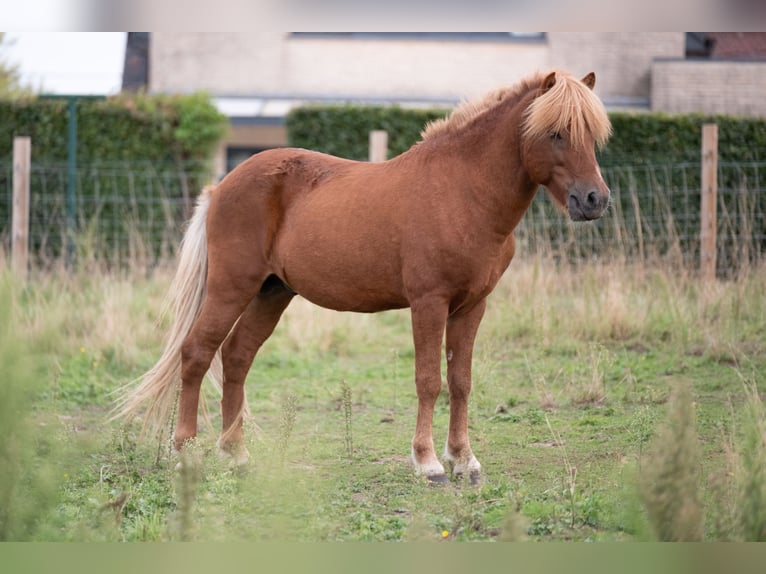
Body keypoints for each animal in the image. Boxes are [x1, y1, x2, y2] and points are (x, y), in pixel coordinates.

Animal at [115, 69, 612, 483]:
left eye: (593, 134)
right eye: (555, 133)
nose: (594, 200)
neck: (462, 192)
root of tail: (223, 185)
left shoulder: (472, 306)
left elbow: (461, 382)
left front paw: (464, 460)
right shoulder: (429, 303)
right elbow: (429, 380)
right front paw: (428, 463)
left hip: (272, 293)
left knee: (236, 358)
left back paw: (236, 454)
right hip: (231, 288)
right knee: (197, 353)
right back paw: (185, 451)